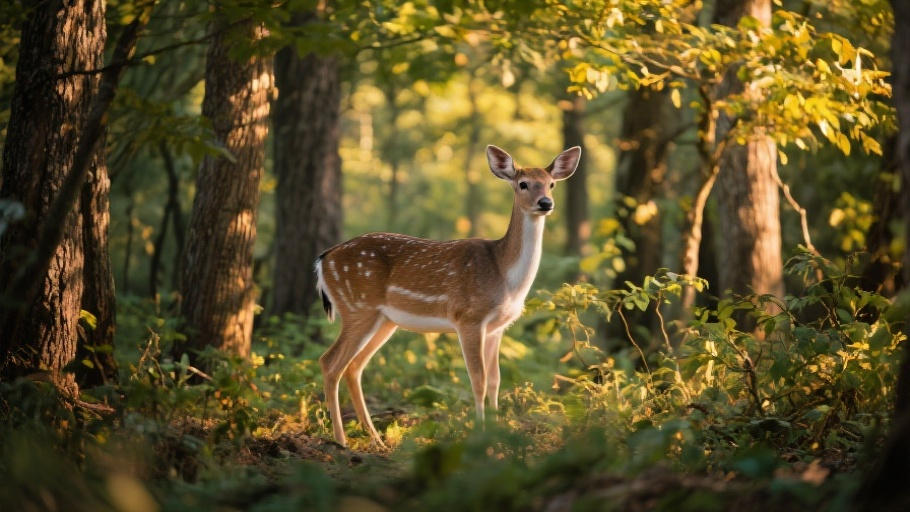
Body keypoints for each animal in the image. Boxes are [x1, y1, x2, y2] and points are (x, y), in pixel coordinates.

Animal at [316, 144, 581, 447]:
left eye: (551, 184)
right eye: (523, 184)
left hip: (384, 320)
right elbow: (477, 380)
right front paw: (481, 437)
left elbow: (495, 381)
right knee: (330, 362)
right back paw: (340, 441)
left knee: (354, 367)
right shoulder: (469, 317)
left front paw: (497, 436)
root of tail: (323, 259)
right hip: (357, 306)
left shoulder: (497, 327)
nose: (545, 203)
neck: (504, 275)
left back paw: (377, 441)